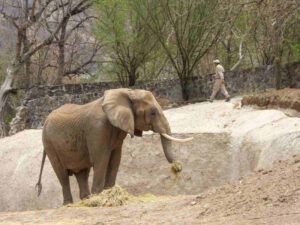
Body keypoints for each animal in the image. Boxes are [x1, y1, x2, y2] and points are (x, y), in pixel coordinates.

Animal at [35, 89, 192, 205]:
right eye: (153, 113)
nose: (178, 167)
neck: (126, 92)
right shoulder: (97, 129)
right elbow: (101, 160)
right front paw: (99, 197)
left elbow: (115, 160)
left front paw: (108, 193)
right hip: (49, 144)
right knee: (62, 175)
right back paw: (70, 204)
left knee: (82, 173)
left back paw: (86, 200)